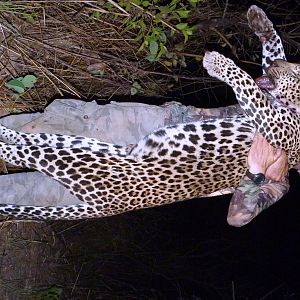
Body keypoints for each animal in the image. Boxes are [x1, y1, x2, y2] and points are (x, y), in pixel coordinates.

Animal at [0, 5, 298, 220]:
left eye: (295, 71)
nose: (280, 67)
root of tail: (107, 208)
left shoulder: (277, 125)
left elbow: (247, 84)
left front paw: (218, 63)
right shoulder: (270, 103)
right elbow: (271, 53)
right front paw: (260, 22)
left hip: (82, 163)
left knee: (23, 152)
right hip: (90, 146)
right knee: (33, 140)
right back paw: (6, 131)